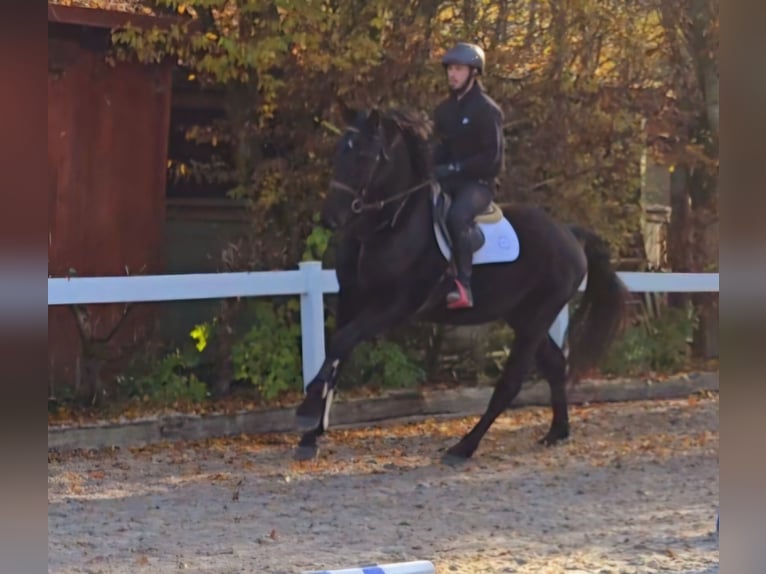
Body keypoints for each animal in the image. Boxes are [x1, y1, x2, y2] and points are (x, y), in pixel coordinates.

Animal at [294, 102, 632, 464]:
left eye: (364, 156)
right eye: (339, 150)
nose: (330, 217)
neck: (387, 226)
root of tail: (568, 232)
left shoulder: (394, 307)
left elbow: (341, 343)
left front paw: (307, 412)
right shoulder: (350, 299)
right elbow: (336, 353)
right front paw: (311, 434)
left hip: (537, 318)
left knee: (510, 384)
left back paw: (464, 446)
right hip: (523, 316)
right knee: (555, 364)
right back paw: (557, 431)